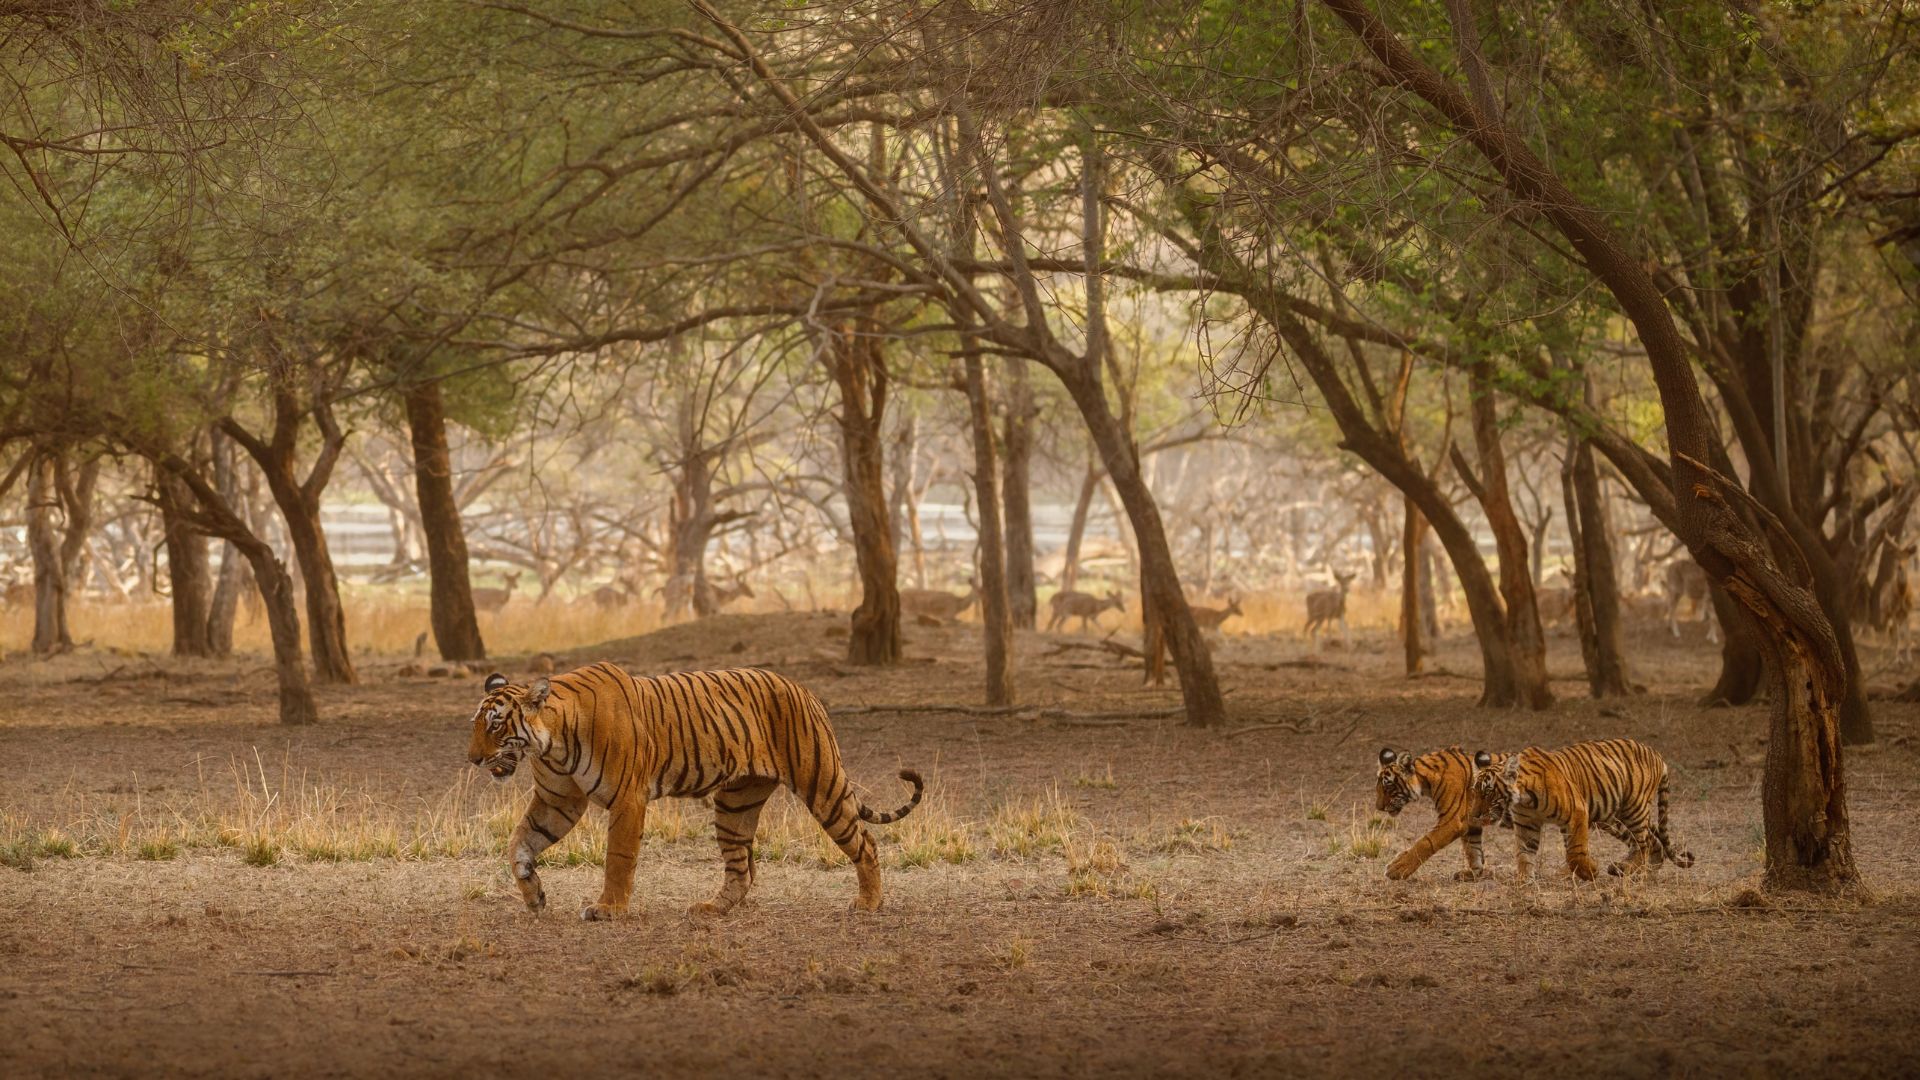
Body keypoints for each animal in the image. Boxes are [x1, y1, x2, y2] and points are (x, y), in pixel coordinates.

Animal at [467, 663, 923, 920]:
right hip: (735, 803)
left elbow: (617, 858)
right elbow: (519, 844)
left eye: (495, 725)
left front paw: (608, 909)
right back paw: (710, 910)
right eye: (476, 724)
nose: (472, 759)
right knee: (741, 870)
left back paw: (868, 904)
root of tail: (803, 688)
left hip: (821, 784)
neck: (552, 744)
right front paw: (533, 896)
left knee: (865, 843)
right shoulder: (557, 802)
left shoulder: (627, 799)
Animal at [1375, 746, 1509, 881]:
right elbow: (1473, 849)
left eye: (1388, 787)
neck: (1425, 782)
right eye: (1378, 788)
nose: (1378, 807)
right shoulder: (1471, 821)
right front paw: (1473, 873)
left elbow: (1426, 842)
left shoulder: (1452, 821)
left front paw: (1397, 868)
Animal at [1470, 740, 1694, 882]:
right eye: (1475, 792)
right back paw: (1640, 872)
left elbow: (1574, 853)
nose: (1474, 815)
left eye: (1488, 792)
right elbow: (1524, 854)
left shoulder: (1576, 812)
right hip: (1612, 818)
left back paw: (1627, 869)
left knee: (1643, 843)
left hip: (1633, 809)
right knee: (1651, 841)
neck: (1524, 799)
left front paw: (1590, 872)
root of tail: (1656, 754)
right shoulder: (1527, 824)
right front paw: (1524, 881)